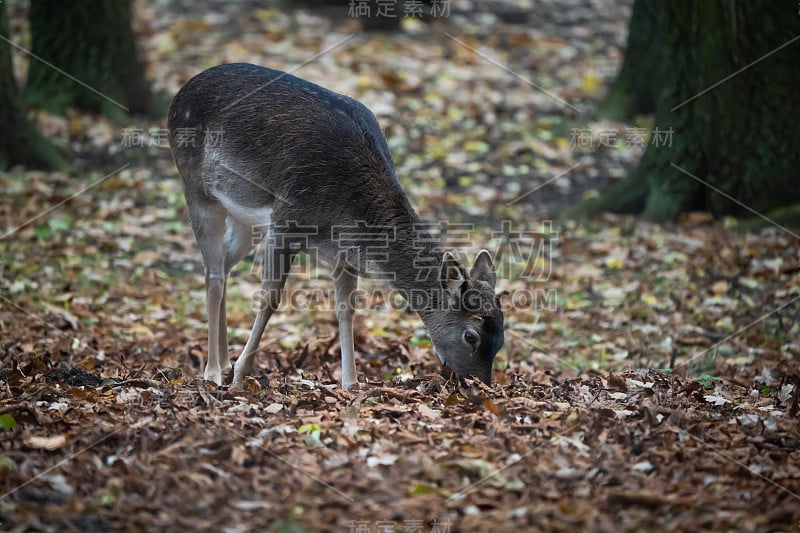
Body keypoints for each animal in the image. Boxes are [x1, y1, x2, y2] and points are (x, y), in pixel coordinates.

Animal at [166, 62, 504, 388]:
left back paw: (223, 364)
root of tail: (179, 93)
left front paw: (350, 383)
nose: (481, 385)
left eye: (501, 338)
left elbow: (346, 309)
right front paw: (241, 374)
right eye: (471, 336)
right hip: (195, 185)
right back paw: (213, 372)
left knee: (223, 265)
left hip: (245, 218)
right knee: (213, 273)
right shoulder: (285, 221)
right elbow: (270, 298)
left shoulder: (344, 253)